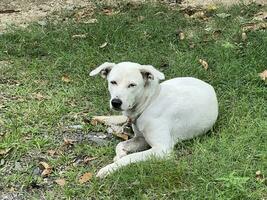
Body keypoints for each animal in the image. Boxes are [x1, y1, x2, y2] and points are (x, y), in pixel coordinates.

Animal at [90, 61, 220, 177]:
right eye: (113, 82)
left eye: (132, 85)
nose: (116, 102)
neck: (149, 104)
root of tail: (208, 86)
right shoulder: (141, 139)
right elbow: (120, 144)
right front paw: (120, 154)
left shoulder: (162, 150)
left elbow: (130, 157)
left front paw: (109, 169)